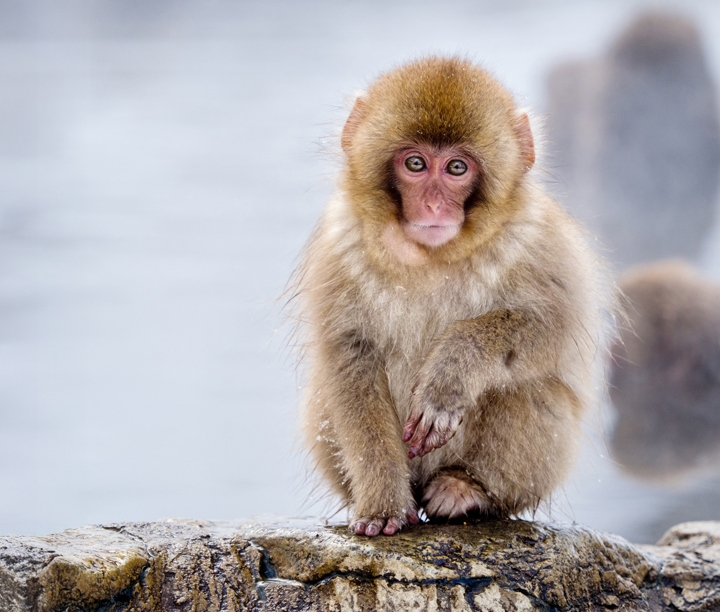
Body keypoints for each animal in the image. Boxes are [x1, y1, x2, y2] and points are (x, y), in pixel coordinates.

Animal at [293, 57, 615, 537]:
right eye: (415, 163)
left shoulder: (539, 239)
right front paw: (382, 500)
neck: (433, 256)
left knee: (528, 386)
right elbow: (350, 361)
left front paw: (451, 371)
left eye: (457, 169)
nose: (432, 206)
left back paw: (467, 490)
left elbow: (556, 330)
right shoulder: (340, 247)